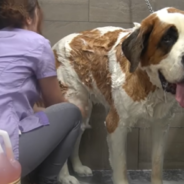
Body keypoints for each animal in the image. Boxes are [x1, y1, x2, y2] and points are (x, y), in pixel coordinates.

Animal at [50, 7, 184, 184]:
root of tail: (57, 44)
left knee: (77, 134)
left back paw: (78, 167)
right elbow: (121, 168)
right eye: (167, 39)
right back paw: (65, 176)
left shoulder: (161, 126)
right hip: (75, 99)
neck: (149, 83)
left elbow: (157, 163)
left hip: (84, 109)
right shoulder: (116, 126)